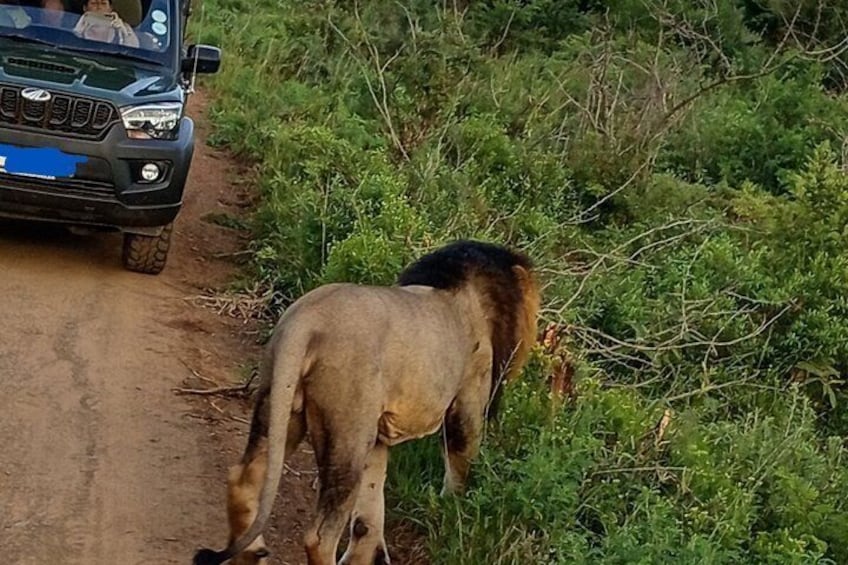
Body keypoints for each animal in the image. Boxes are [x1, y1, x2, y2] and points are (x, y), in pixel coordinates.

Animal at [193, 240, 540, 565]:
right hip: (348, 431)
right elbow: (460, 467)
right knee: (319, 536)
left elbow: (368, 516)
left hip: (280, 405)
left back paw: (251, 553)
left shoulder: (379, 432)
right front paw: (453, 512)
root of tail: (305, 321)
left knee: (242, 480)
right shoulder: (468, 398)